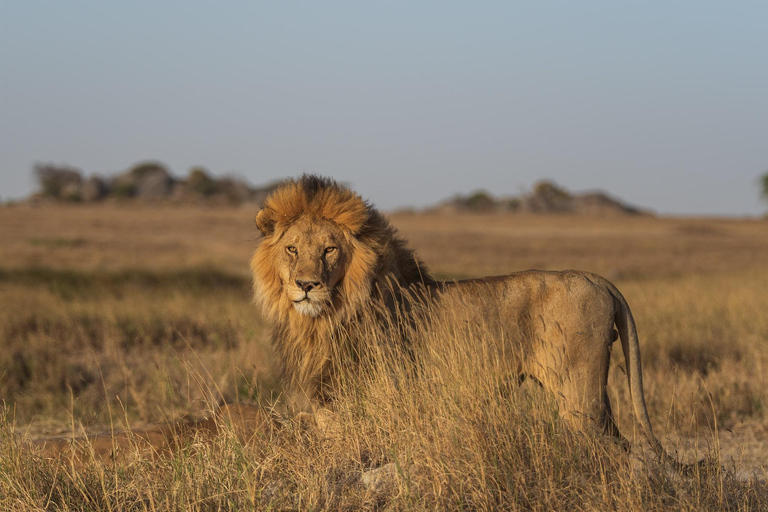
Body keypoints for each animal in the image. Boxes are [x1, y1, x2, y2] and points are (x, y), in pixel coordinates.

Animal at [252, 175, 684, 468]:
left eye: (329, 249)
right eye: (292, 249)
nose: (307, 285)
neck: (323, 319)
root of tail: (598, 279)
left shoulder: (380, 399)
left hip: (580, 397)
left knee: (611, 451)